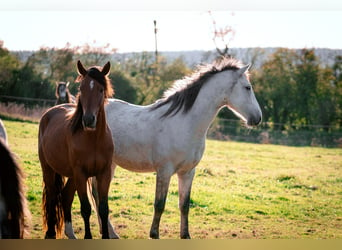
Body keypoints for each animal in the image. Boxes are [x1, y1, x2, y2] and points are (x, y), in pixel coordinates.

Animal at [38, 60, 114, 238]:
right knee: (52, 196)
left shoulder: (104, 173)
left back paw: (71, 234)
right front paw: (88, 237)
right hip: (49, 169)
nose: (88, 120)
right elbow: (86, 208)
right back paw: (50, 233)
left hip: (72, 176)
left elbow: (103, 208)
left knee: (65, 196)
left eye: (101, 89)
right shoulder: (81, 174)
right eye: (81, 88)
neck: (93, 140)